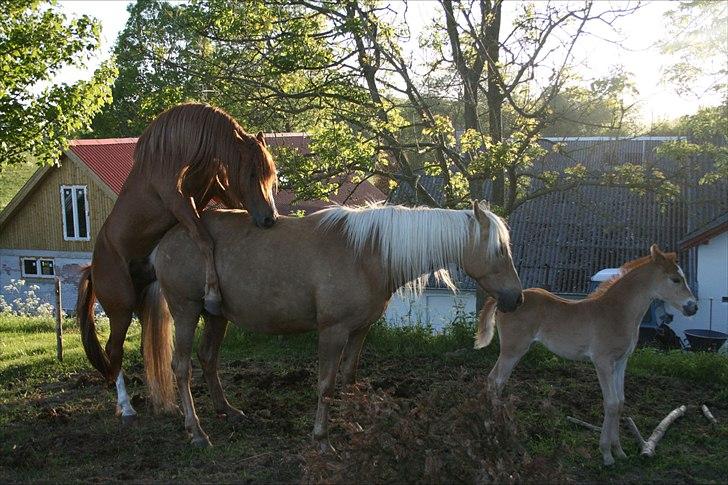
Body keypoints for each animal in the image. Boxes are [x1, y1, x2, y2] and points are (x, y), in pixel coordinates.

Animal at [76, 102, 276, 420]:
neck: (175, 151)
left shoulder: (212, 185)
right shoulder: (179, 201)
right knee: (113, 351)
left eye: (271, 174)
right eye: (253, 173)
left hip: (140, 304)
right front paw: (213, 293)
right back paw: (126, 407)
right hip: (121, 310)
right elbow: (205, 240)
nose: (270, 219)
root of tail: (93, 270)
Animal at [138, 201, 524, 450]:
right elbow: (326, 384)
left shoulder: (359, 330)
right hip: (186, 311)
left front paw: (355, 423)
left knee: (208, 359)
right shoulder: (333, 332)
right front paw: (322, 440)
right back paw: (197, 432)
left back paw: (227, 412)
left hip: (216, 316)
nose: (516, 298)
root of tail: (167, 240)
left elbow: (348, 378)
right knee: (182, 367)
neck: (368, 253)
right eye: (498, 250)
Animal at [474, 246, 696, 466]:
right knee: (496, 380)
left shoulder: (621, 362)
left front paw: (619, 451)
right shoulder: (602, 361)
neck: (617, 312)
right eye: (676, 279)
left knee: (494, 381)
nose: (693, 307)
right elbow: (611, 403)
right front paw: (606, 454)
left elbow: (620, 402)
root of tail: (504, 300)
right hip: (513, 349)